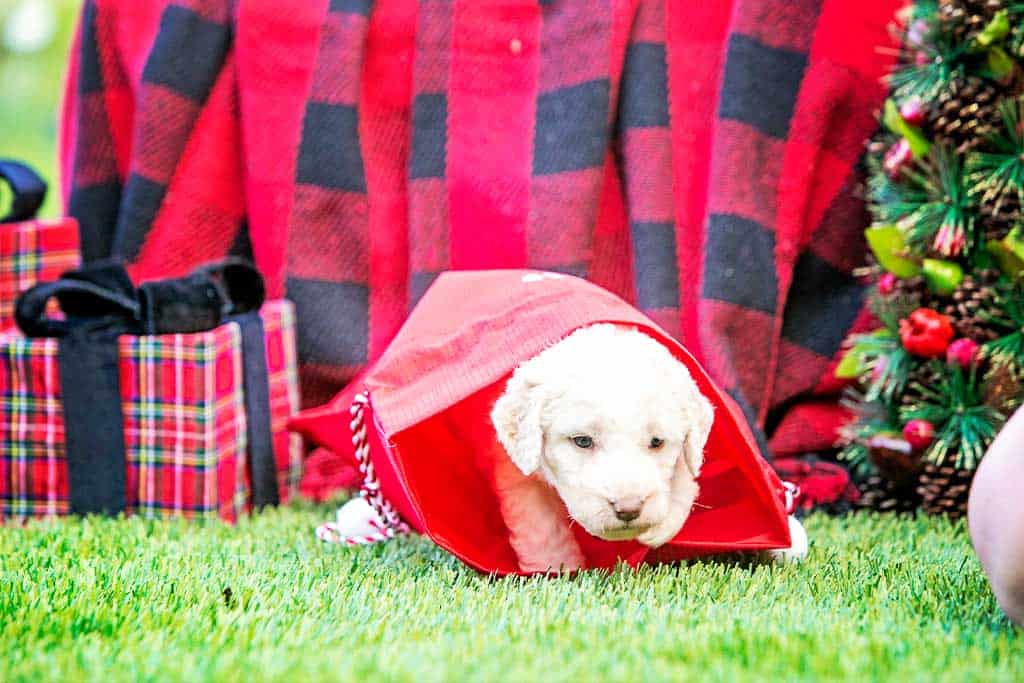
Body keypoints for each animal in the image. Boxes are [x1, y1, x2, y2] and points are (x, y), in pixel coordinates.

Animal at [491, 323, 716, 569]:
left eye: (657, 441)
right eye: (582, 441)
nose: (628, 509)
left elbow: (686, 472)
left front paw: (663, 527)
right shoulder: (519, 477)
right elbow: (542, 530)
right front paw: (557, 568)